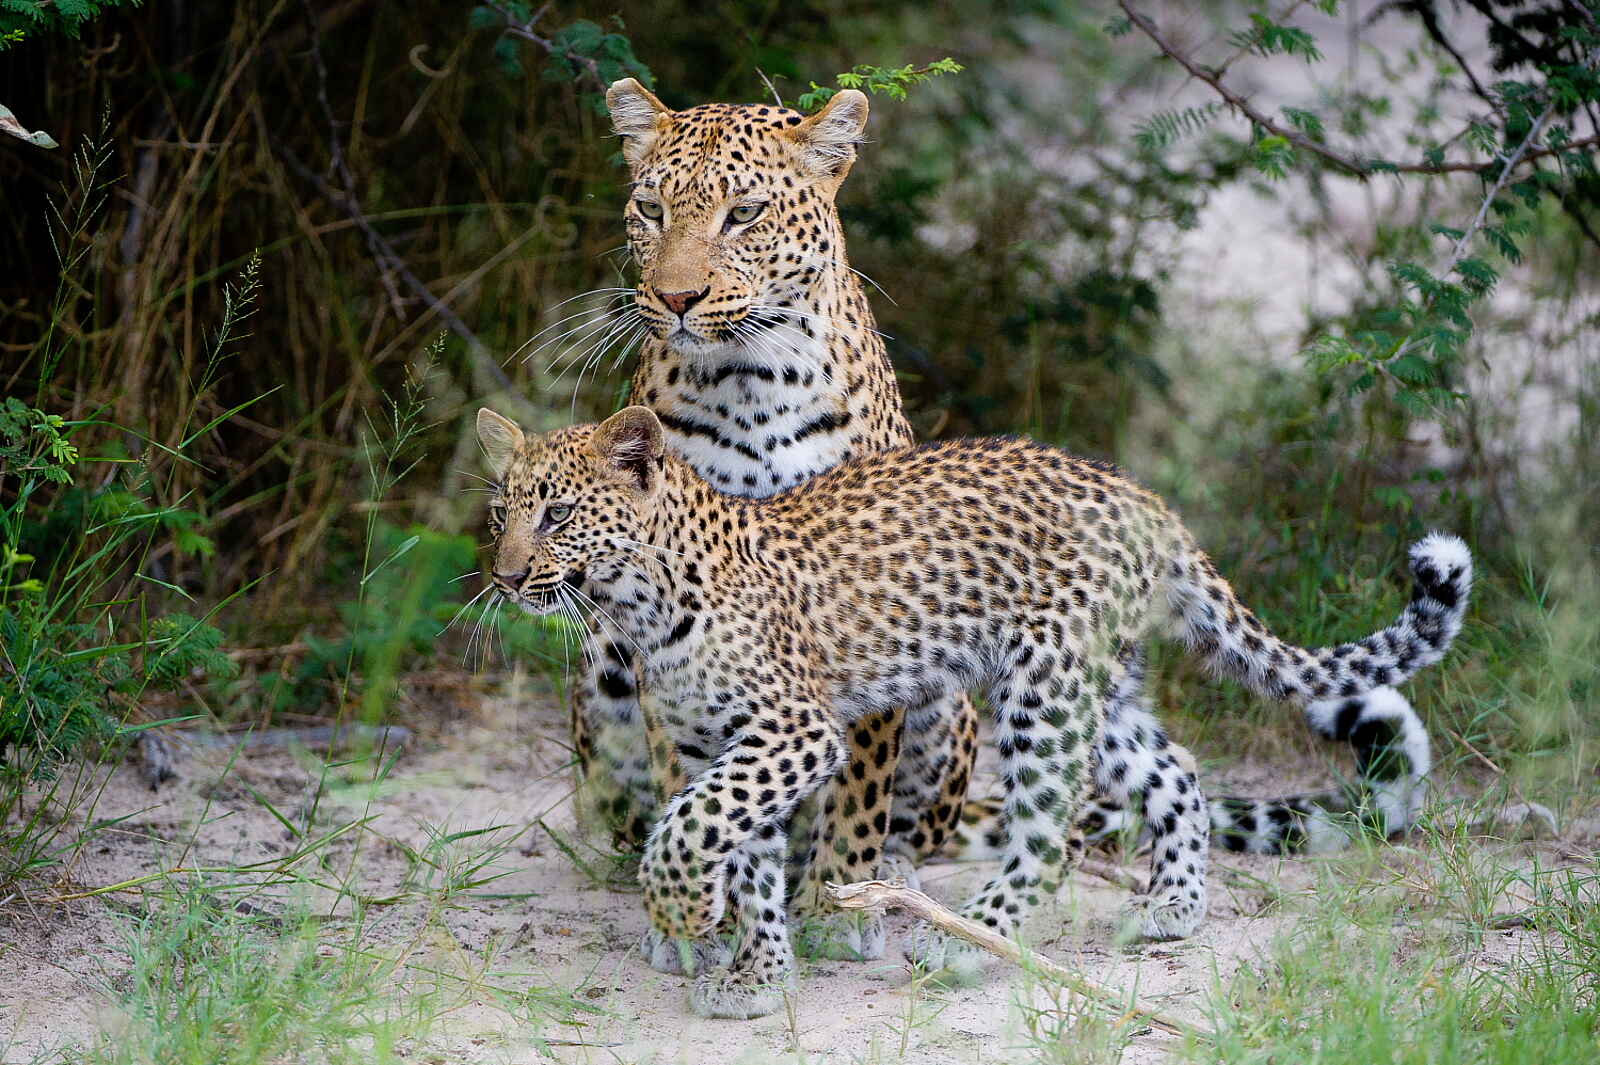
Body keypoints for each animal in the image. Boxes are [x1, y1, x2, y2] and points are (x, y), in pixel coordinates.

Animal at [476, 402, 1473, 1018]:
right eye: (499, 515)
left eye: (557, 515)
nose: (507, 575)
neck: (634, 602)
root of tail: (1144, 498)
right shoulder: (712, 742)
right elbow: (736, 846)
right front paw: (756, 972)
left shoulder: (794, 729)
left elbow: (688, 827)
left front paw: (684, 907)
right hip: (1099, 685)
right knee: (1177, 768)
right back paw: (1175, 906)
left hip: (1042, 685)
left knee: (1050, 831)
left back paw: (972, 938)